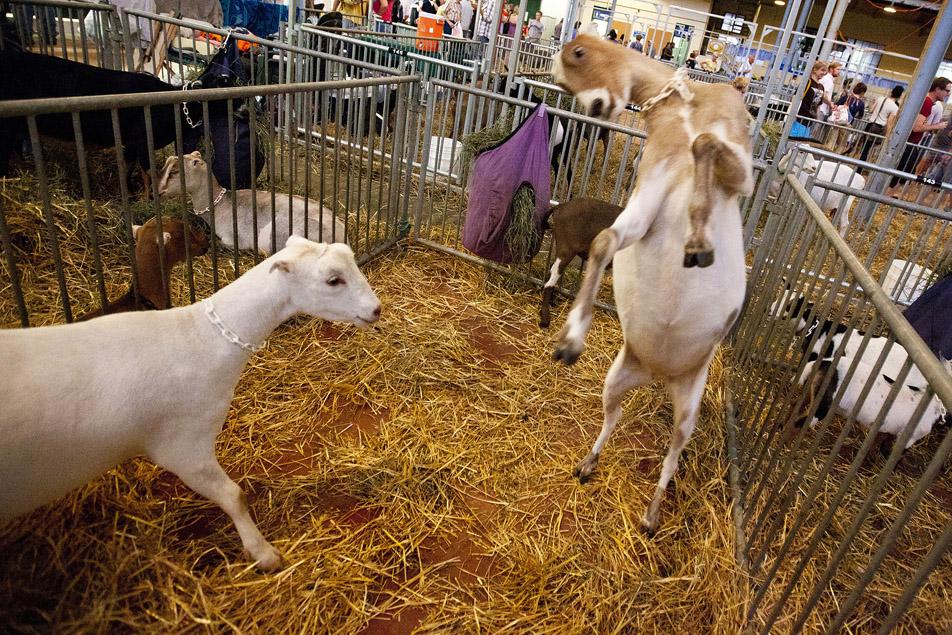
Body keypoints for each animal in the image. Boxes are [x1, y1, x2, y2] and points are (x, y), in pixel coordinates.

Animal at [0, 236, 381, 571]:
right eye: (333, 280)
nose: (376, 309)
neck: (200, 336)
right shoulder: (184, 446)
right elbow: (234, 496)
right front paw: (264, 554)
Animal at [549, 30, 753, 534]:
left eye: (578, 54)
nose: (596, 106)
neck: (682, 106)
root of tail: (660, 375)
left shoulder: (742, 170)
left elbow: (706, 143)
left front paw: (700, 241)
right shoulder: (652, 193)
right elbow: (606, 240)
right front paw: (571, 337)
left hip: (692, 403)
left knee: (673, 454)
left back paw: (652, 514)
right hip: (617, 376)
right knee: (613, 416)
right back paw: (588, 464)